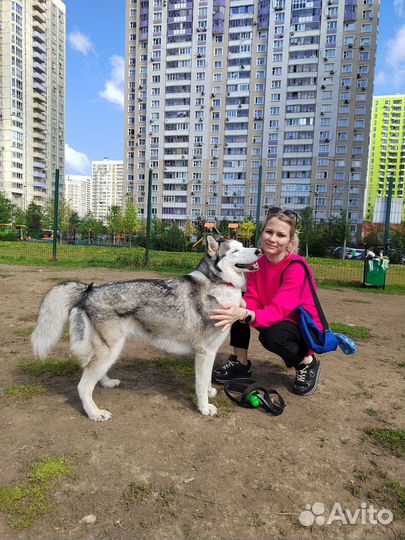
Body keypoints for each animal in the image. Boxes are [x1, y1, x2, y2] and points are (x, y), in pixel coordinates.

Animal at [30, 237, 258, 422]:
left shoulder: (210, 353)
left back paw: (107, 383)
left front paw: (210, 391)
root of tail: (89, 289)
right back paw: (95, 414)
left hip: (108, 351)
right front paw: (204, 408)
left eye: (243, 245)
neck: (219, 285)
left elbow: (207, 379)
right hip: (110, 350)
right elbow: (200, 384)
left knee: (91, 371)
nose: (258, 251)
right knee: (83, 386)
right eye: (235, 250)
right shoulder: (205, 352)